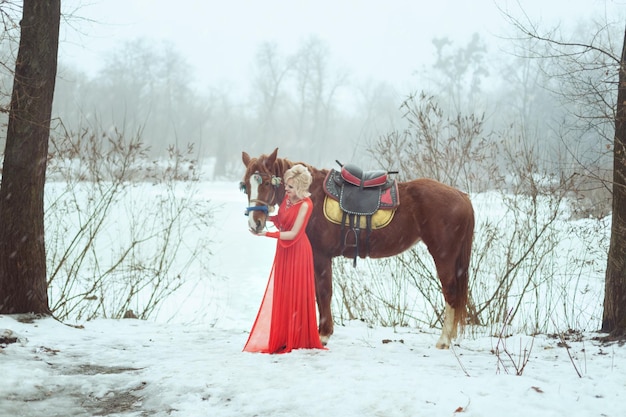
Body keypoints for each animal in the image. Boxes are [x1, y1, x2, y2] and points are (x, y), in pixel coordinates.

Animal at [240, 148, 472, 346]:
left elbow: (324, 292)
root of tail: (462, 196)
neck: (311, 194)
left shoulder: (321, 256)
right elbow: (319, 294)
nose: (255, 223)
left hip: (443, 256)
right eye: (245, 185)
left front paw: (324, 334)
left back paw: (444, 340)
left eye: (267, 182)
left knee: (450, 292)